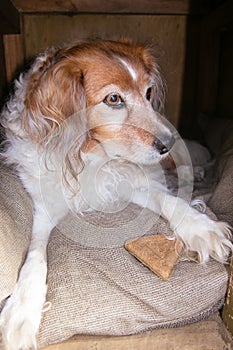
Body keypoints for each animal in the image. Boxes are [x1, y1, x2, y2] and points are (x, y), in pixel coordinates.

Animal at [0, 39, 232, 350]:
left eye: (148, 92)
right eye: (113, 99)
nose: (169, 143)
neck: (90, 154)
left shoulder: (132, 181)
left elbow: (168, 199)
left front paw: (202, 228)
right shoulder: (44, 211)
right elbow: (35, 256)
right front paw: (22, 309)